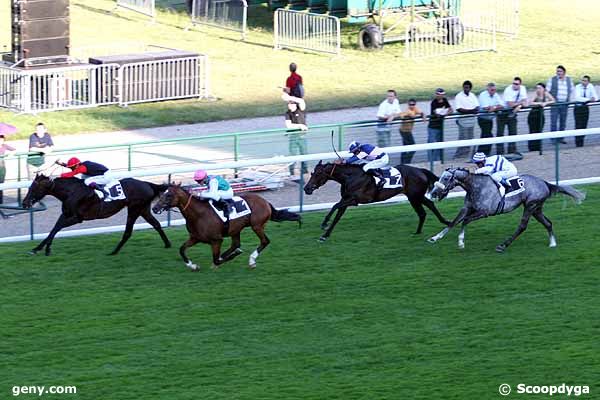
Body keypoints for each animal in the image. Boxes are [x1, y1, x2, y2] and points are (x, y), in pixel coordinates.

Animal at [21, 175, 171, 256]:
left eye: (34, 188)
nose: (24, 203)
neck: (71, 192)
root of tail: (147, 183)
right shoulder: (66, 214)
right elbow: (54, 228)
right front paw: (37, 248)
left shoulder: (78, 218)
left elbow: (57, 228)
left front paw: (46, 249)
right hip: (143, 210)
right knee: (156, 224)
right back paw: (167, 244)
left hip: (135, 209)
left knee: (128, 232)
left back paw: (114, 251)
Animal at [150, 184, 300, 272]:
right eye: (162, 193)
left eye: (169, 195)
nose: (155, 208)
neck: (198, 215)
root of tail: (265, 201)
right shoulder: (195, 238)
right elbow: (181, 250)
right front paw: (192, 265)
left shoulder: (216, 240)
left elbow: (216, 259)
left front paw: (223, 260)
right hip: (236, 229)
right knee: (236, 244)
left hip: (256, 225)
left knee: (264, 241)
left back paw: (251, 260)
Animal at [302, 161, 448, 242]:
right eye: (312, 173)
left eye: (318, 174)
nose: (306, 188)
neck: (350, 177)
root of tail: (420, 170)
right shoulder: (346, 199)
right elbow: (337, 216)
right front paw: (325, 235)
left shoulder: (354, 200)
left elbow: (334, 206)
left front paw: (324, 223)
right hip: (415, 196)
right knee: (427, 208)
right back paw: (429, 227)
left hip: (415, 196)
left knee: (424, 210)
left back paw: (442, 223)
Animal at [426, 167, 584, 252]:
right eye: (440, 177)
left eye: (446, 178)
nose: (433, 193)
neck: (476, 186)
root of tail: (545, 183)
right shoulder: (467, 208)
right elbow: (454, 222)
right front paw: (434, 238)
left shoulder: (484, 212)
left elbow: (464, 221)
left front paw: (461, 242)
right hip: (536, 208)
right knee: (548, 223)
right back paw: (552, 243)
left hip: (530, 206)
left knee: (522, 226)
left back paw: (502, 245)